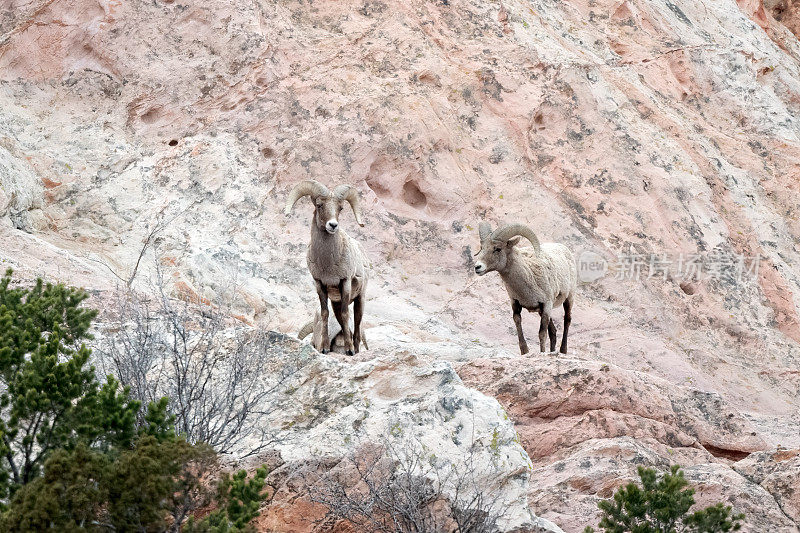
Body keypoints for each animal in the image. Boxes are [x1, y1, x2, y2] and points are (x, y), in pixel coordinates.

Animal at [284, 179, 368, 354]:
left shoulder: (345, 282)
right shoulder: (320, 284)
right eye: (319, 205)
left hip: (360, 298)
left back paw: (355, 350)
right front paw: (324, 348)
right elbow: (324, 314)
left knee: (357, 323)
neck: (328, 264)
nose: (333, 225)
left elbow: (345, 314)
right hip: (336, 301)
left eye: (340, 208)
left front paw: (349, 350)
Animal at [476, 222, 576, 356]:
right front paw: (525, 352)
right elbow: (518, 325)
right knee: (553, 332)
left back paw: (563, 351)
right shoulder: (516, 304)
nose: (477, 267)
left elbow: (542, 334)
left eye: (497, 248)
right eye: (482, 248)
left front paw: (542, 352)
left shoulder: (546, 305)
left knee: (567, 320)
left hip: (569, 298)